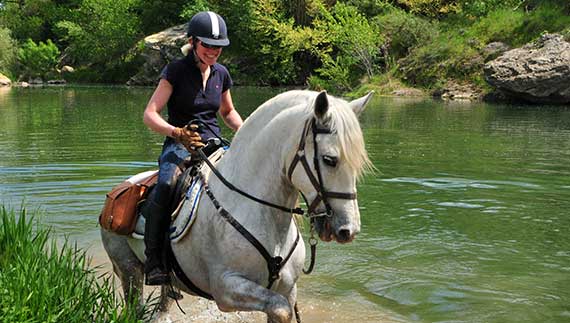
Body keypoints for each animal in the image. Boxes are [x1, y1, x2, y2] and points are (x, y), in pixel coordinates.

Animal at [100, 89, 370, 323]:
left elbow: (281, 308)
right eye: (329, 159)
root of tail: (120, 188)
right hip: (129, 270)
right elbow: (281, 309)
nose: (348, 230)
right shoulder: (227, 289)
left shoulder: (288, 288)